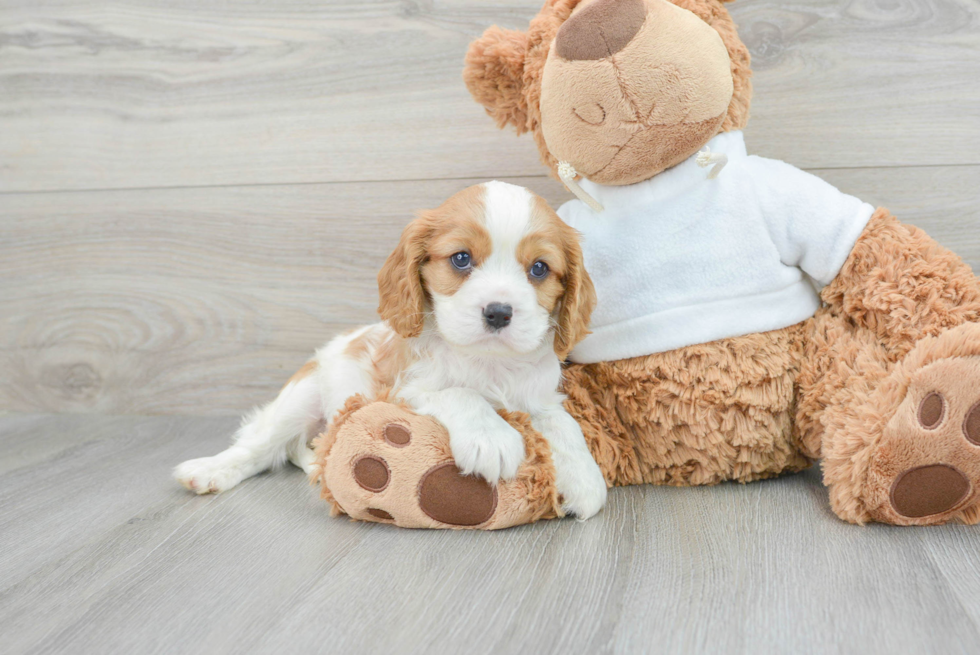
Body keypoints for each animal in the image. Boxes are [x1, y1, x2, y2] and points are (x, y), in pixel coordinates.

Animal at [172, 182, 608, 520]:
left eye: (539, 268)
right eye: (461, 258)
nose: (499, 312)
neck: (487, 361)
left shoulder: (538, 397)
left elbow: (563, 425)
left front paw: (585, 478)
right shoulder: (400, 392)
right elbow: (459, 392)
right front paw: (492, 438)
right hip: (301, 396)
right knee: (258, 446)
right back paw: (211, 470)